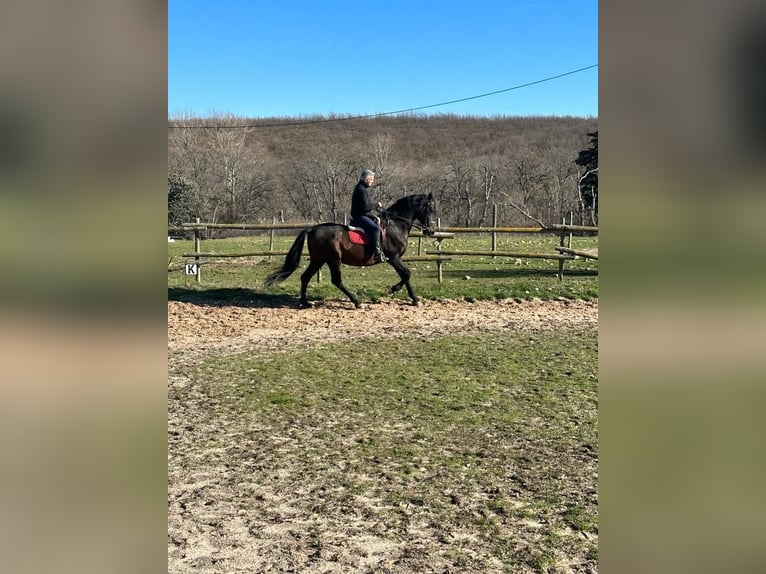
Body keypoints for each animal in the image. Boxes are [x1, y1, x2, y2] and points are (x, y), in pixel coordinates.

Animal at [264, 192, 436, 310]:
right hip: (333, 260)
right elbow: (407, 274)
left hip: (319, 260)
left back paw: (305, 302)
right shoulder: (394, 258)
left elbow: (405, 275)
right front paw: (408, 296)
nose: (432, 231)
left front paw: (402, 293)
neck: (395, 225)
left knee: (305, 277)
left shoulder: (395, 259)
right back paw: (357, 302)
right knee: (336, 281)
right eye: (429, 208)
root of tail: (313, 229)